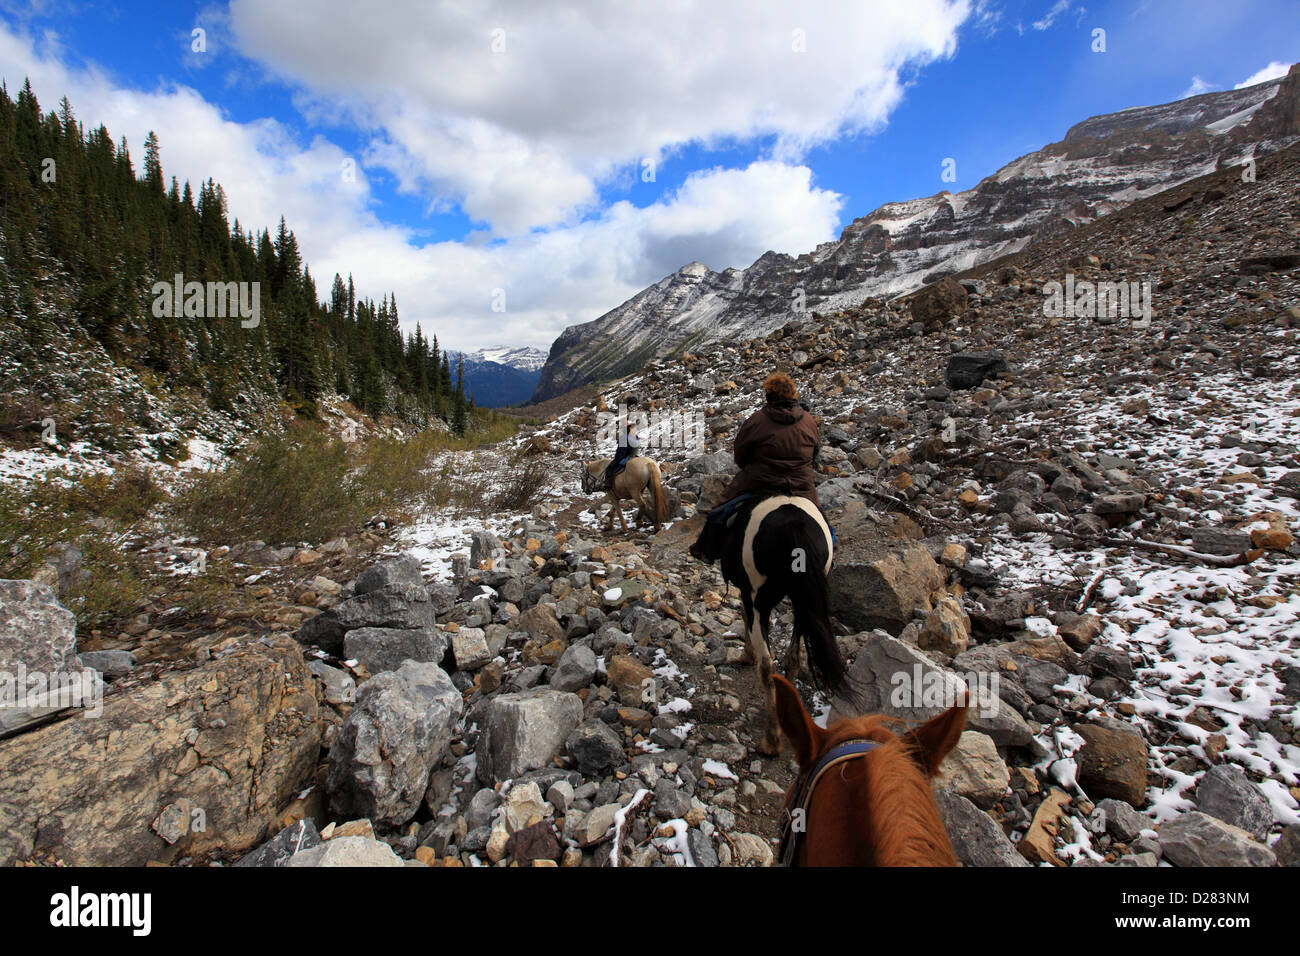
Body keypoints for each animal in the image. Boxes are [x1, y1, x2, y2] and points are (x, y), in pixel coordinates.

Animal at [712, 494, 852, 754]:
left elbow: (746, 617)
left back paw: (770, 740)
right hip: (804, 603)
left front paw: (747, 655)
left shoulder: (748, 592)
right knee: (794, 656)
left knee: (768, 668)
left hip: (762, 597)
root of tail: (793, 525)